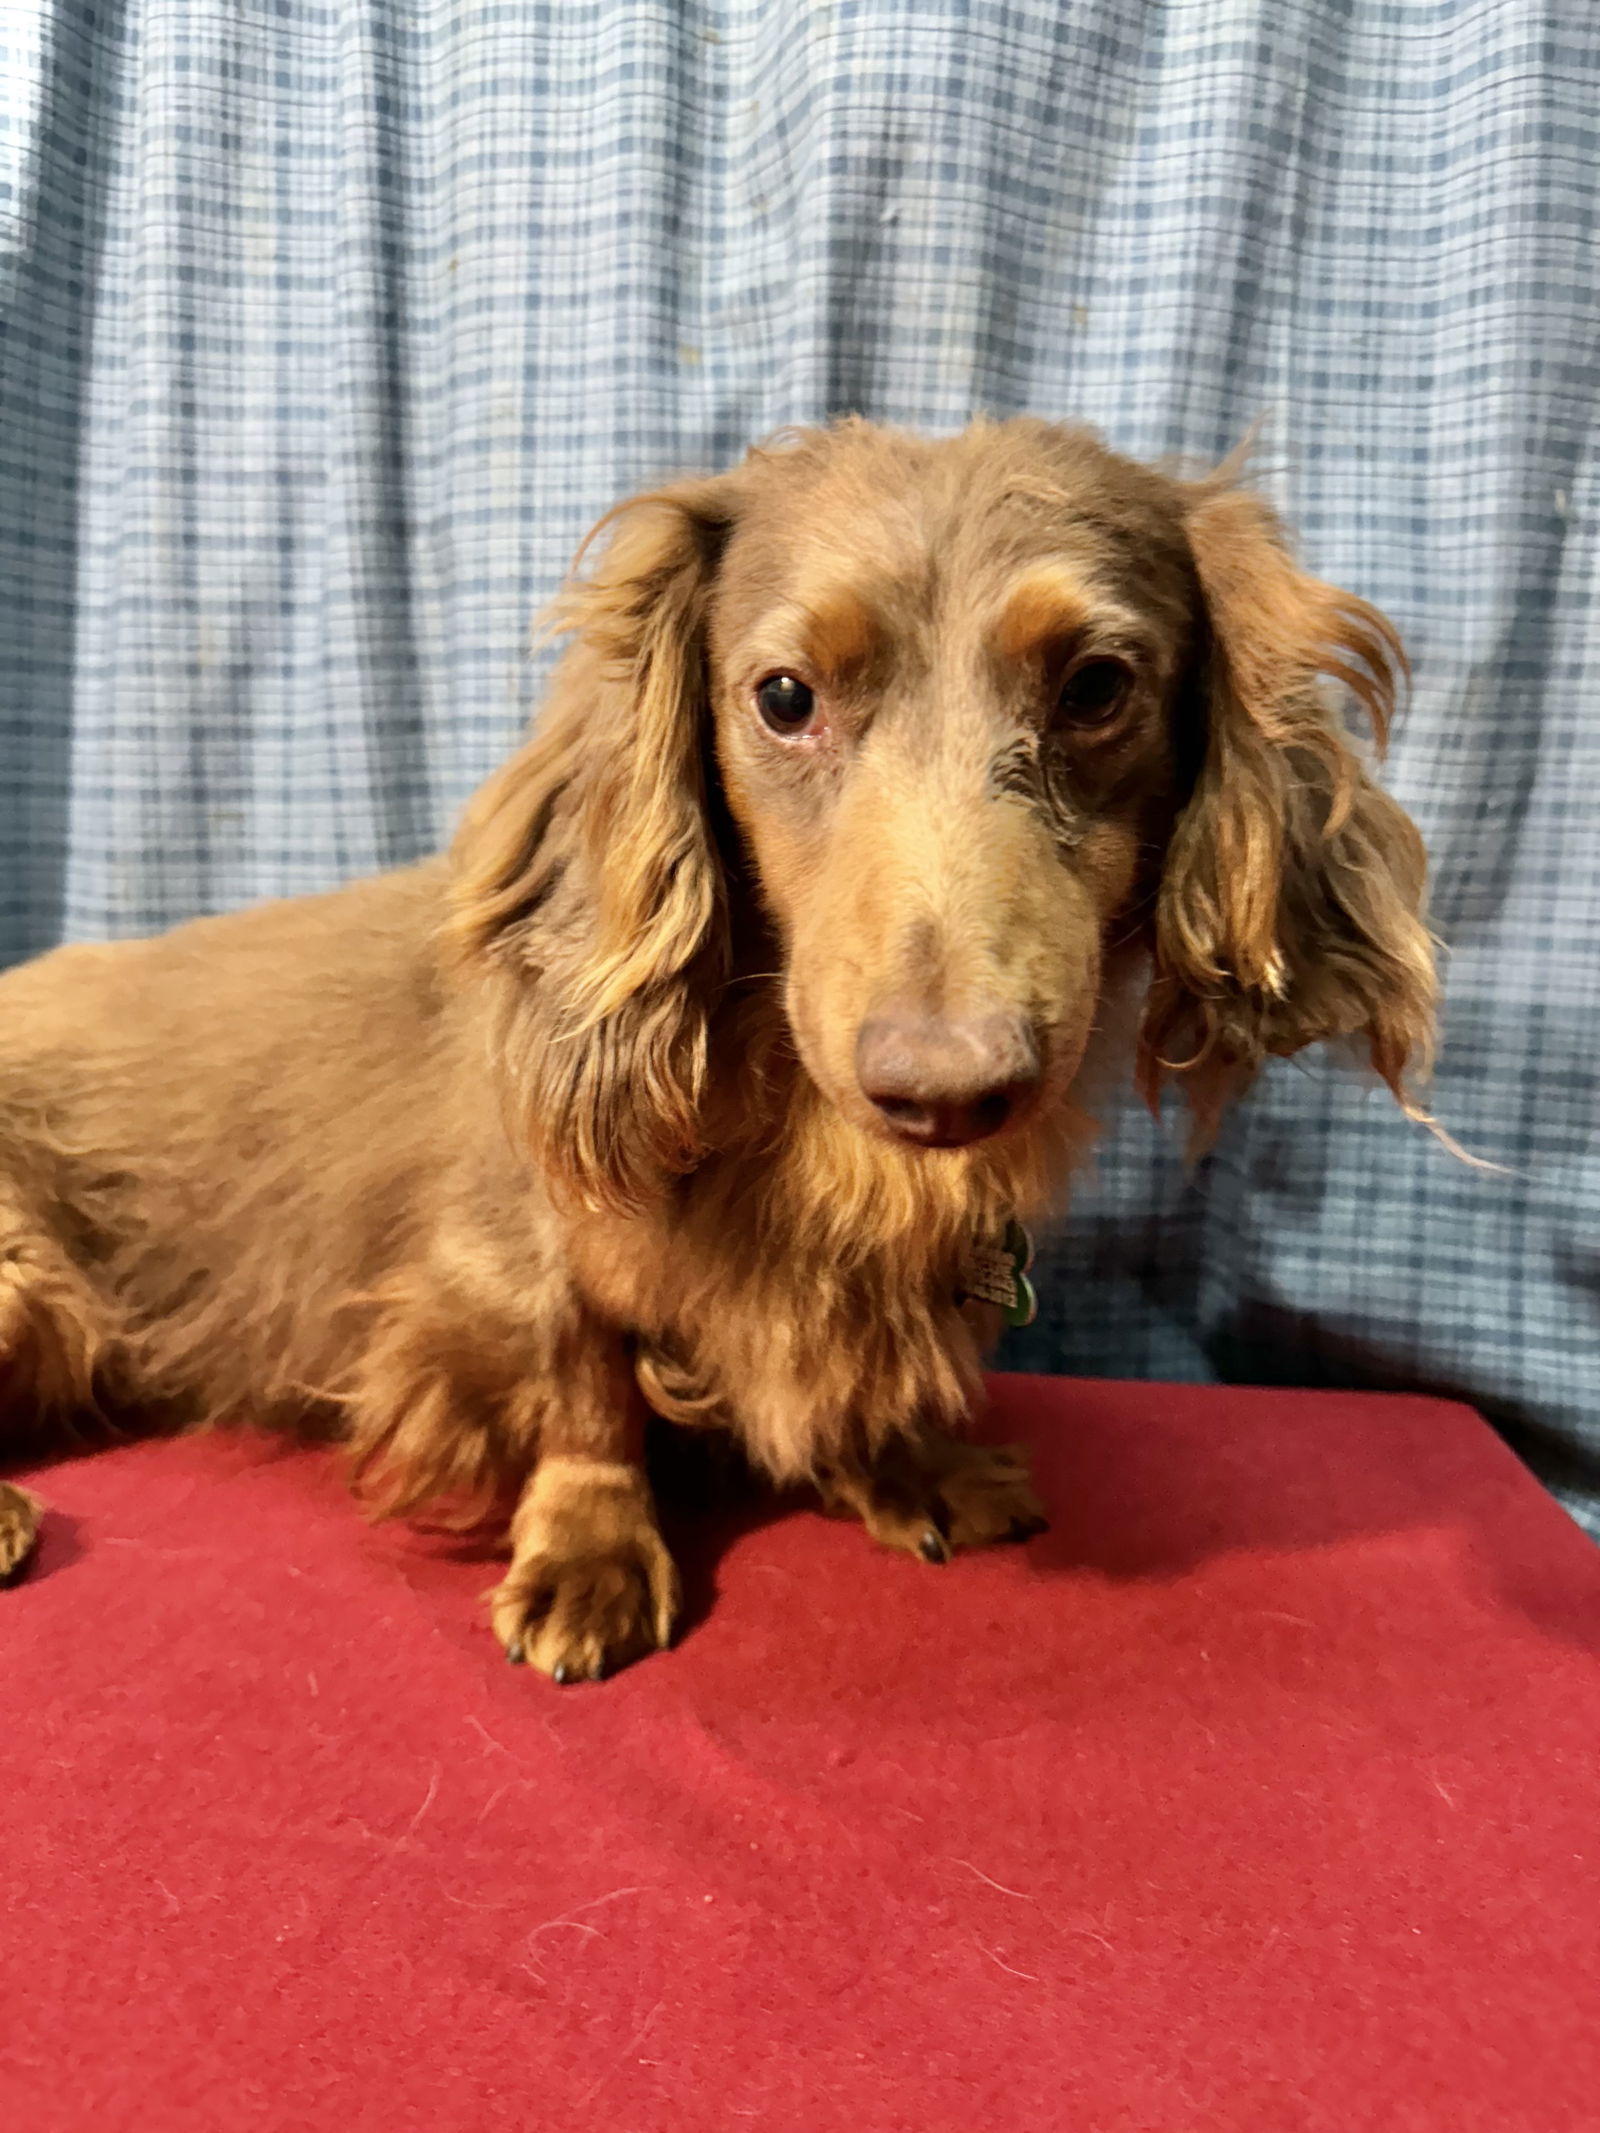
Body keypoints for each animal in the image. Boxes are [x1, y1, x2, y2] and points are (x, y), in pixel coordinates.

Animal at [0, 420, 1433, 1680]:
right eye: (784, 697)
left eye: (1095, 689)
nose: (944, 1088)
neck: (796, 1123)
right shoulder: (525, 1248)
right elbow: (583, 1387)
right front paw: (590, 1551)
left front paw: (904, 1467)